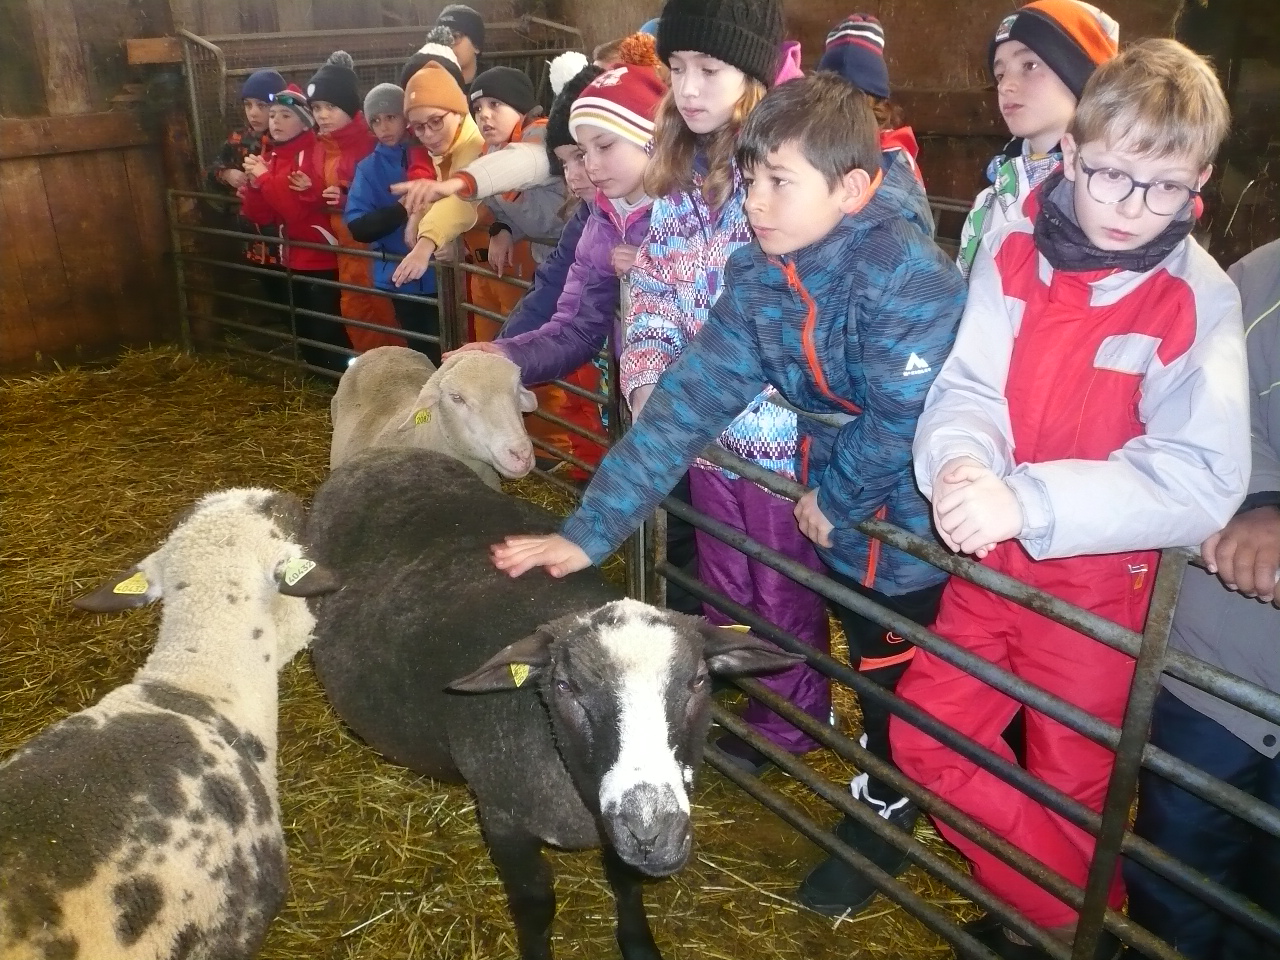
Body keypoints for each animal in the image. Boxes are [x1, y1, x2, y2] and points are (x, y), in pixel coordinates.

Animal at [306, 448, 801, 960]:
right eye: (565, 686)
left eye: (699, 680)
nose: (652, 832)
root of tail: (381, 455)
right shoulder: (502, 820)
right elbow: (535, 906)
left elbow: (626, 883)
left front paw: (638, 943)